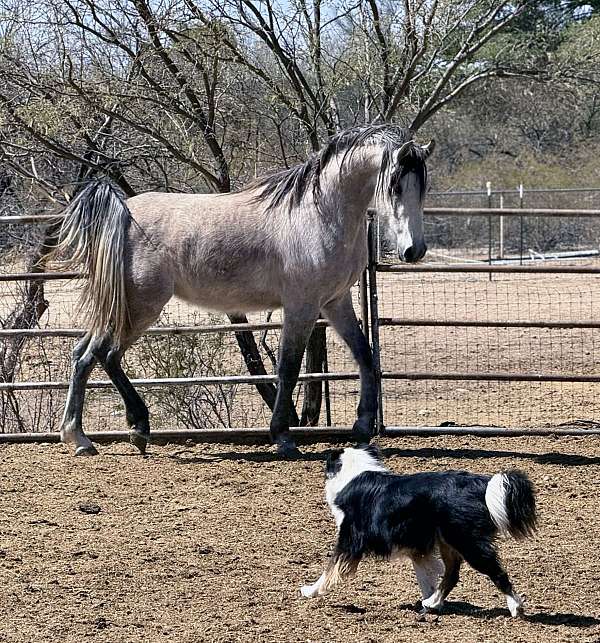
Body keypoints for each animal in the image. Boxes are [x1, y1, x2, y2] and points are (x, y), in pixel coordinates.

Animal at [50, 124, 434, 457]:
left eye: (422, 187)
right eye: (395, 186)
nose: (414, 251)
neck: (320, 214)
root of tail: (124, 211)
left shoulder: (335, 301)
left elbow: (366, 357)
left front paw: (362, 427)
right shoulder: (302, 306)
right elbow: (288, 368)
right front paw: (283, 438)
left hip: (124, 307)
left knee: (83, 354)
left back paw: (81, 437)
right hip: (141, 306)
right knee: (104, 354)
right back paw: (130, 430)